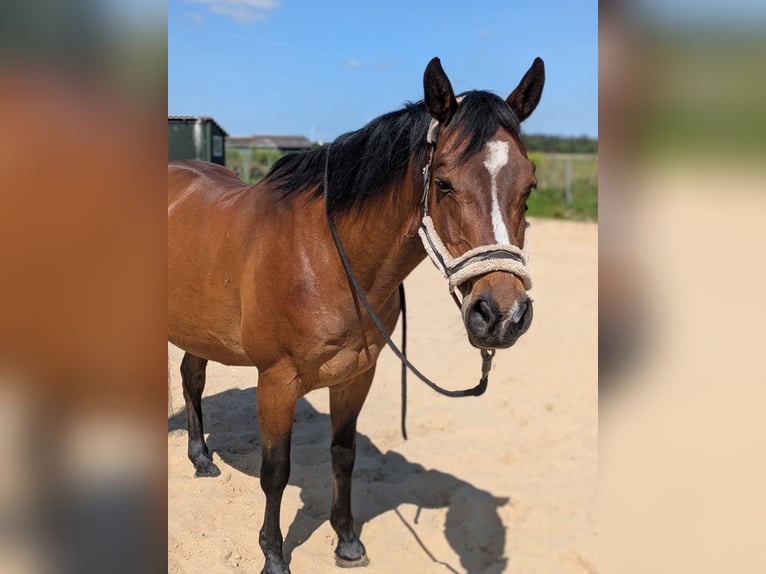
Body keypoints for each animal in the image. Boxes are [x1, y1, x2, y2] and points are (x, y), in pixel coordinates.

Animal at [168, 56, 544, 574]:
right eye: (443, 182)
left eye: (529, 187)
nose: (502, 314)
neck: (326, 257)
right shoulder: (276, 381)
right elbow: (275, 471)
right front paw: (274, 556)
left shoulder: (356, 377)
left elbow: (343, 455)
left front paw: (347, 541)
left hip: (198, 328)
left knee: (192, 378)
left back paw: (201, 459)